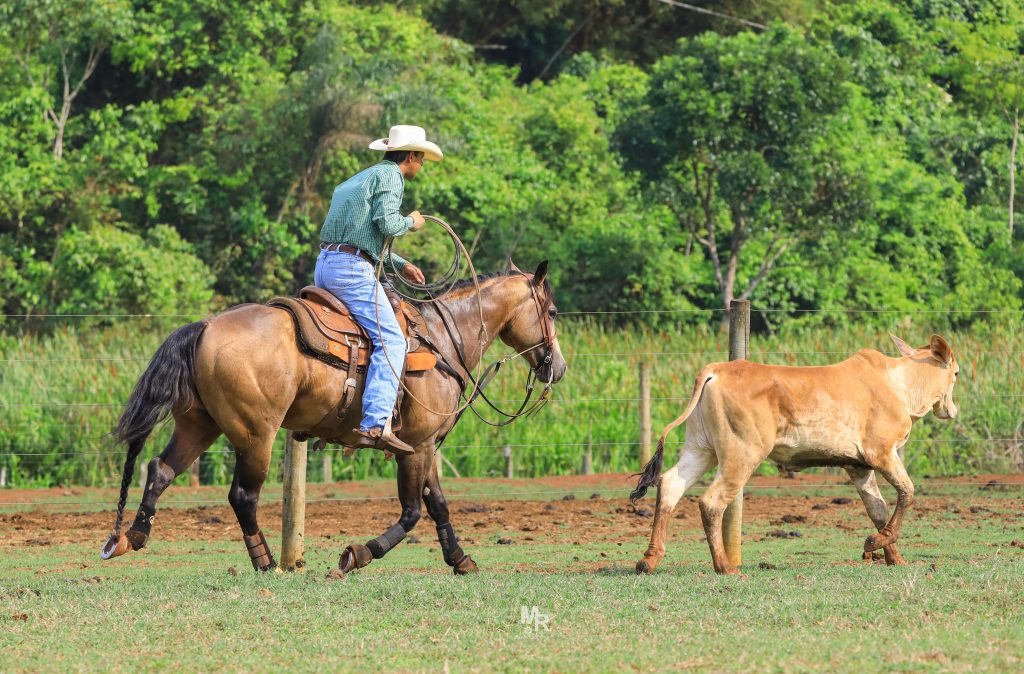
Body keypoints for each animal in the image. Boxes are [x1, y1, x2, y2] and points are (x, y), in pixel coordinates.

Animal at [97, 261, 569, 573]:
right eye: (551, 311)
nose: (558, 368)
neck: (440, 341)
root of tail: (206, 327)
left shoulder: (426, 445)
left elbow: (438, 504)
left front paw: (459, 558)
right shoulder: (416, 446)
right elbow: (413, 511)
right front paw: (357, 555)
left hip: (199, 424)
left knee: (160, 469)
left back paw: (131, 538)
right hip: (256, 433)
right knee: (242, 496)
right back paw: (267, 562)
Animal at [630, 333, 958, 573]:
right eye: (956, 372)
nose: (951, 410)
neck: (898, 385)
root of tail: (716, 370)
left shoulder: (859, 467)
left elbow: (878, 510)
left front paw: (893, 557)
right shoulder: (882, 454)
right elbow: (907, 493)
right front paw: (875, 542)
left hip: (702, 450)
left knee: (671, 484)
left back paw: (649, 559)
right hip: (741, 456)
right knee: (711, 502)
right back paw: (725, 566)